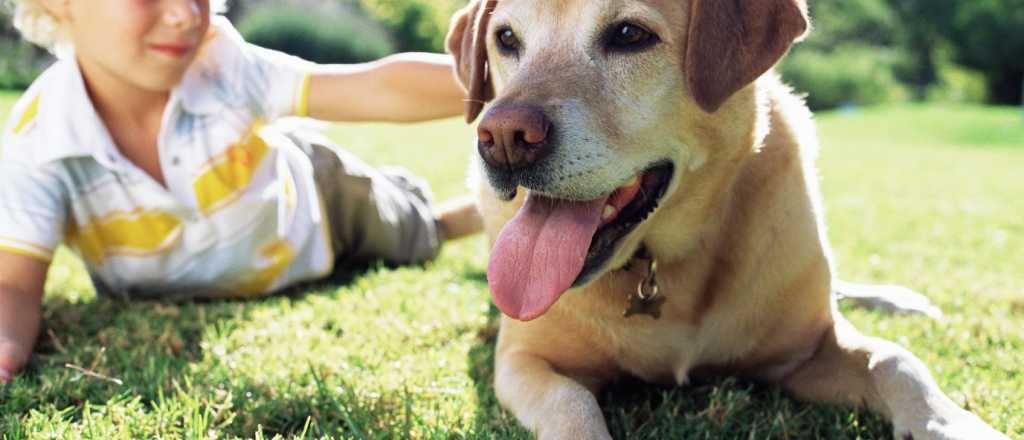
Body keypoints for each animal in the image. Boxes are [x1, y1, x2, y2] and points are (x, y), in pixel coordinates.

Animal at [446, 0, 1007, 440]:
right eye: (506, 38)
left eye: (629, 35)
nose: (502, 138)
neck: (662, 264)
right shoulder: (523, 359)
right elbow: (571, 404)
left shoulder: (811, 350)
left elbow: (896, 361)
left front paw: (954, 423)